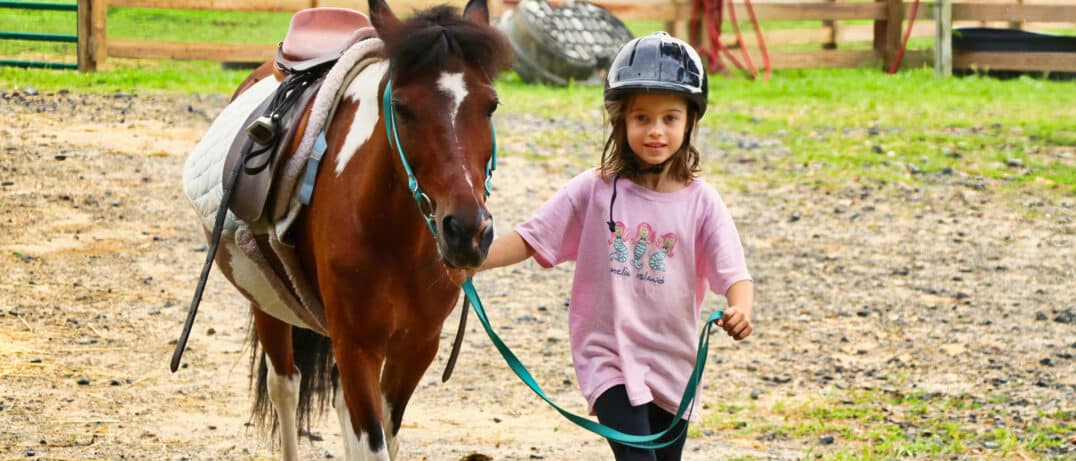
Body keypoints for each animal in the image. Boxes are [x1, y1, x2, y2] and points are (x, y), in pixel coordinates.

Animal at [187, 1, 510, 458]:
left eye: (491, 105)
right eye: (403, 108)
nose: (466, 231)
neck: (398, 240)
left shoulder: (418, 345)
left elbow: (388, 434)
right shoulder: (356, 346)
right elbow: (369, 441)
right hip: (267, 301)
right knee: (284, 386)